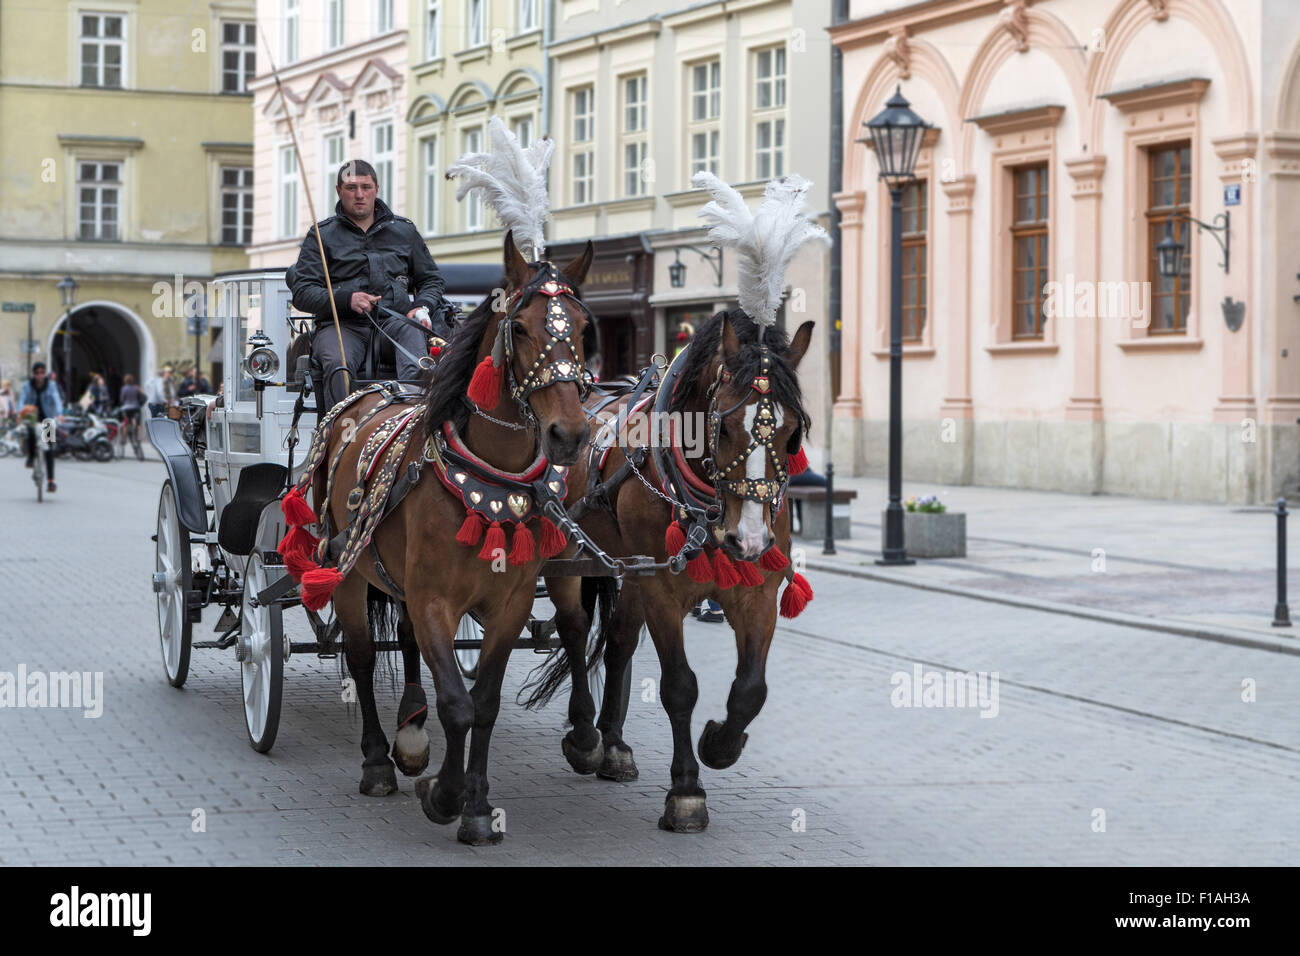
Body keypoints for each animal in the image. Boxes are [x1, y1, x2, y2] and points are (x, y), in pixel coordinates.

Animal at [284, 231, 595, 842]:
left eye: (581, 325)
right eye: (521, 328)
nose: (569, 435)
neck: (487, 476)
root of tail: (369, 391)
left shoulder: (508, 606)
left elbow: (486, 702)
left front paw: (477, 804)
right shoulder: (434, 601)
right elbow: (457, 703)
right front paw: (447, 797)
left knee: (403, 643)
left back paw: (410, 732)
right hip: (348, 569)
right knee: (361, 656)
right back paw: (378, 761)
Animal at [527, 312, 811, 832]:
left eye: (792, 434)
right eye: (723, 429)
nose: (749, 539)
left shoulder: (757, 593)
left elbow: (751, 690)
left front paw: (720, 743)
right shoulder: (662, 590)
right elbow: (679, 687)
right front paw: (686, 792)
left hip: (626, 568)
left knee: (618, 643)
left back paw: (614, 747)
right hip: (568, 553)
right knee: (575, 630)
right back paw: (584, 736)